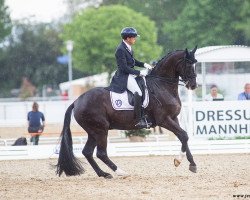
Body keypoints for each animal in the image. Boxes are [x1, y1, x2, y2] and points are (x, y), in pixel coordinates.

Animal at [55, 46, 198, 178]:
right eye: (188, 64)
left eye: (195, 64)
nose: (193, 85)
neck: (161, 85)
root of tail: (77, 101)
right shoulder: (164, 120)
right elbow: (184, 135)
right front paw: (178, 161)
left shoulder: (174, 118)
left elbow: (183, 137)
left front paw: (192, 164)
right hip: (100, 130)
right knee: (101, 153)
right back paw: (121, 172)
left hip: (93, 131)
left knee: (87, 152)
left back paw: (103, 174)